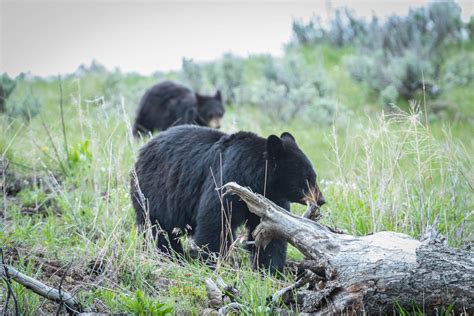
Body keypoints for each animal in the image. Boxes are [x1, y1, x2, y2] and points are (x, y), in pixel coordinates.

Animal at [131, 124, 326, 272]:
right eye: (307, 178)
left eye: (314, 175)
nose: (321, 200)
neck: (256, 179)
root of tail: (143, 150)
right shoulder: (228, 182)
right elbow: (216, 222)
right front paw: (212, 262)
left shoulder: (270, 201)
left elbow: (271, 234)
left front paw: (269, 269)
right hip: (154, 193)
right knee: (159, 229)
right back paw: (171, 255)